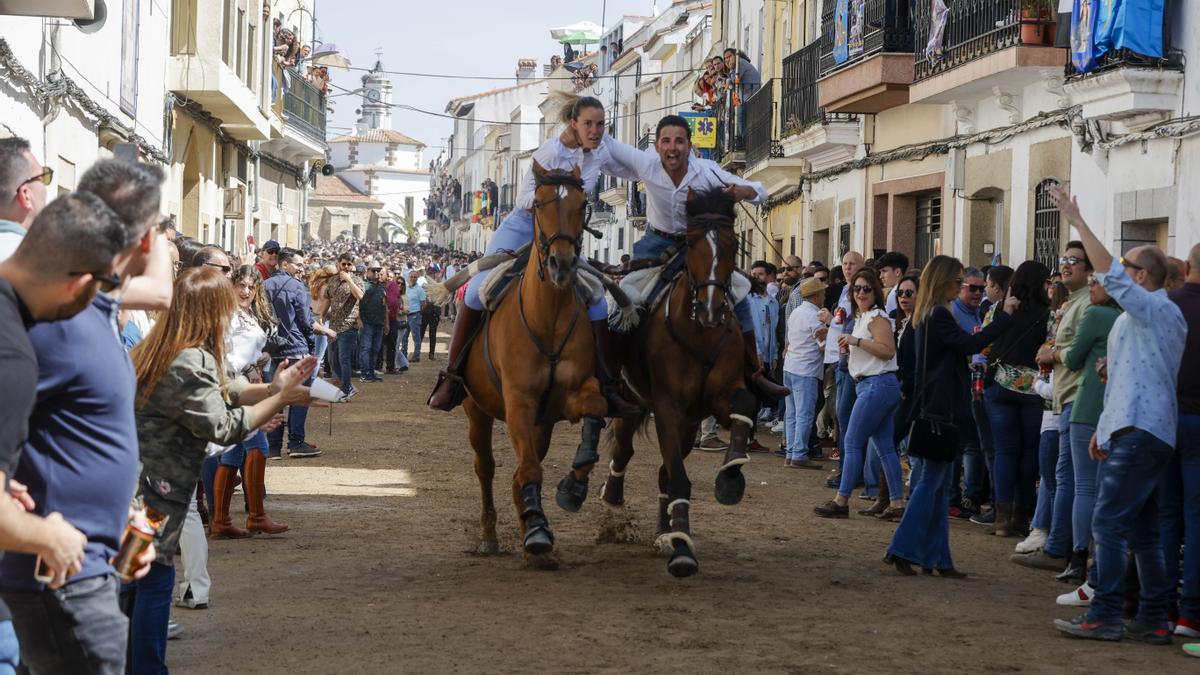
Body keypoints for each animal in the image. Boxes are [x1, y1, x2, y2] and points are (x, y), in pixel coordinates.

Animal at [460, 163, 609, 562]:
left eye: (582, 204)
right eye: (539, 203)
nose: (562, 264)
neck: (549, 317)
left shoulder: (566, 399)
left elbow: (595, 410)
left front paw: (572, 488)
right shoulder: (519, 403)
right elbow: (527, 468)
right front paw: (538, 531)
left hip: (541, 424)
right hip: (476, 409)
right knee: (487, 468)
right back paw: (491, 534)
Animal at [595, 186, 753, 576]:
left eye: (732, 244)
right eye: (692, 244)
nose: (712, 308)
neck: (701, 333)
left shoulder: (712, 401)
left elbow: (745, 405)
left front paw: (731, 477)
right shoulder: (667, 408)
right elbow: (677, 476)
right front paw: (683, 552)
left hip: (686, 421)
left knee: (663, 470)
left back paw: (665, 531)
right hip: (633, 399)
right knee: (624, 449)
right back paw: (611, 495)